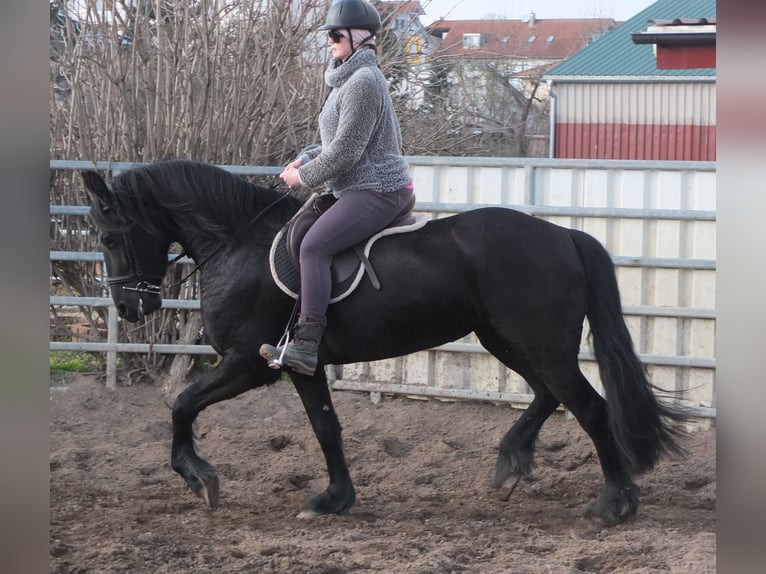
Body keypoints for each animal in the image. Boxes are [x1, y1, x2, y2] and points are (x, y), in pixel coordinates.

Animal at [81, 158, 688, 528]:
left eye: (110, 235)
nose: (130, 308)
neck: (239, 244)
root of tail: (564, 235)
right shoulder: (300, 365)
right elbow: (326, 428)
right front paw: (334, 499)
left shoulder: (248, 364)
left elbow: (182, 404)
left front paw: (199, 477)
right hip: (505, 340)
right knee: (547, 396)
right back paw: (511, 467)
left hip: (539, 345)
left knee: (589, 407)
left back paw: (614, 504)